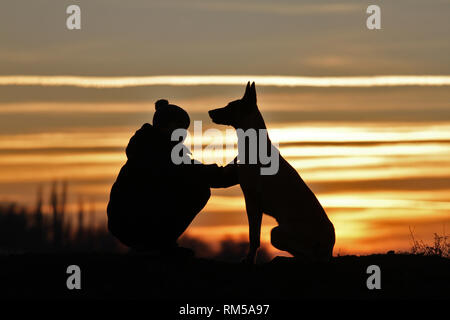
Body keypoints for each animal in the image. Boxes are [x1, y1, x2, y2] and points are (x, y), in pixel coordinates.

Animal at [207, 82, 334, 262]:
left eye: (230, 106)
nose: (210, 112)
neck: (254, 144)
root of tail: (329, 245)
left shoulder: (252, 203)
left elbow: (254, 237)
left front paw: (249, 259)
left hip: (277, 233)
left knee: (310, 257)